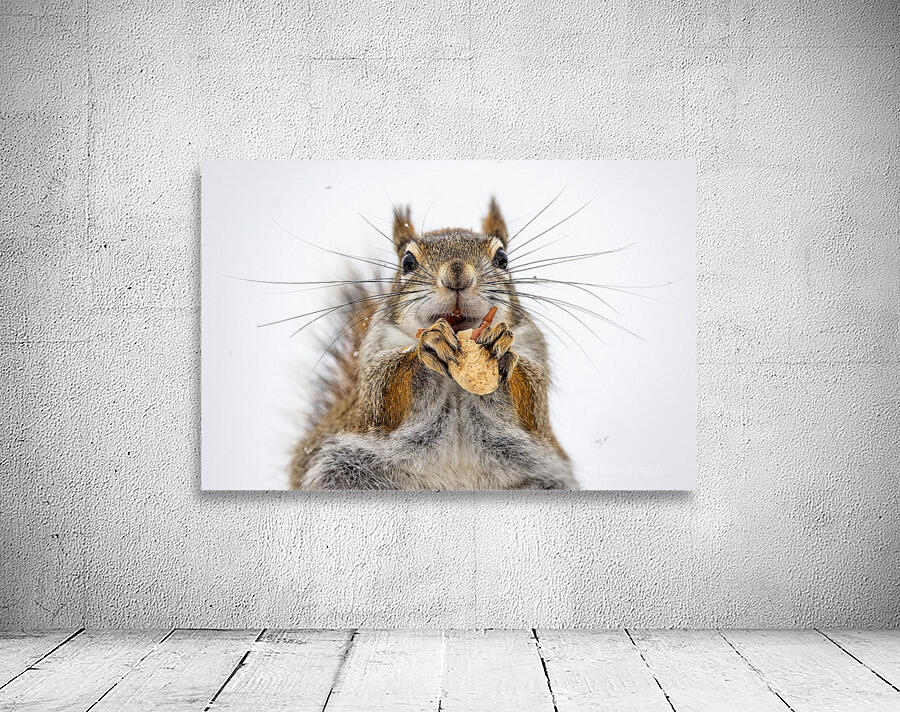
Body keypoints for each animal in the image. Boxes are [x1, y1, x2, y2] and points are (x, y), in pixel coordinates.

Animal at [289, 198, 578, 490]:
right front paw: (429, 345)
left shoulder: (535, 351)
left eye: (502, 259)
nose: (457, 274)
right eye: (407, 262)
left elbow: (532, 401)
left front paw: (501, 349)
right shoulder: (372, 365)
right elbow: (382, 395)